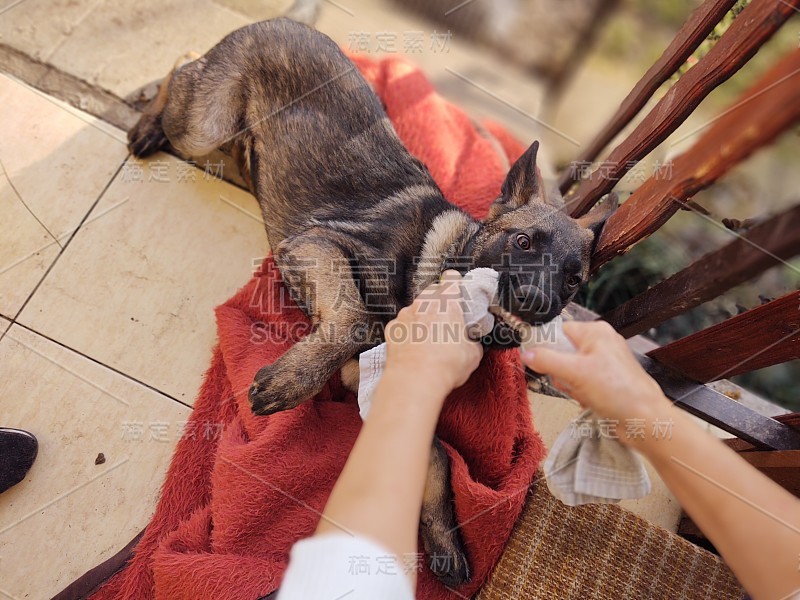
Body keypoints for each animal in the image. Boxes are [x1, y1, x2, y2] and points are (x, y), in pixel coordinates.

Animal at [128, 17, 616, 584]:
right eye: (522, 242)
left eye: (574, 281)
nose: (537, 300)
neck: (444, 264)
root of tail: (283, 21)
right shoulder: (318, 244)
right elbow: (356, 318)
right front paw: (292, 380)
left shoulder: (378, 383)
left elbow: (436, 455)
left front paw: (443, 537)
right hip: (204, 126)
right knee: (183, 66)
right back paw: (147, 117)